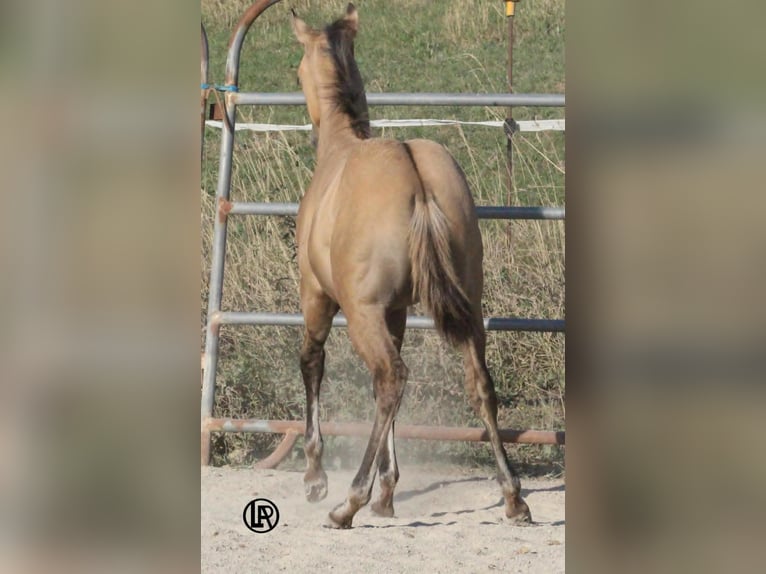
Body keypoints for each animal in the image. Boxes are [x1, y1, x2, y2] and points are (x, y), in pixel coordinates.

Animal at [290, 3, 531, 529]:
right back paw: (513, 498)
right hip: (468, 306)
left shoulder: (317, 296)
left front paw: (316, 477)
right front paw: (388, 492)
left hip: (359, 313)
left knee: (390, 379)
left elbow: (312, 362)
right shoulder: (397, 311)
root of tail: (415, 176)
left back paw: (348, 503)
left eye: (296, 69)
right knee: (478, 384)